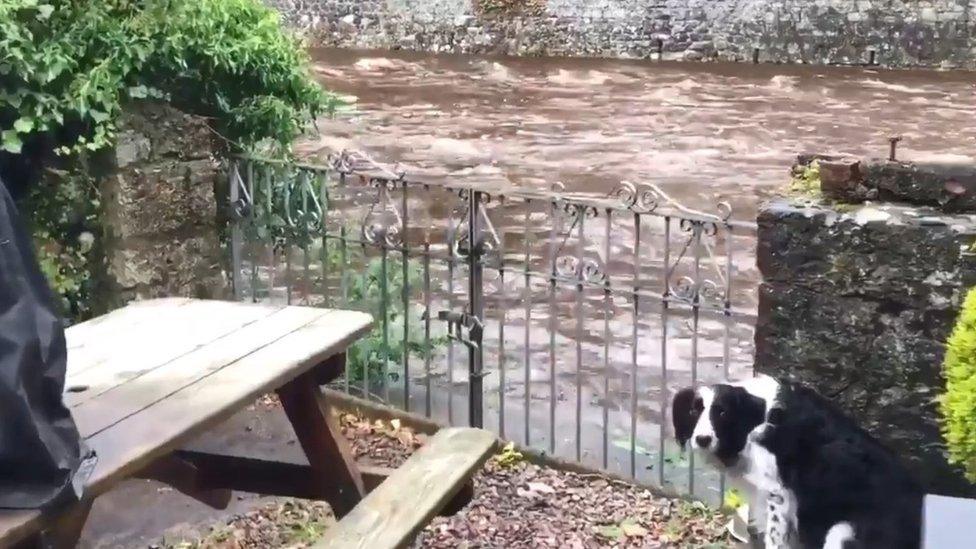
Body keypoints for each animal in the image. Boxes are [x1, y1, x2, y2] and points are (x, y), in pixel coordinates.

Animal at [672, 374, 924, 548]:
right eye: (694, 412)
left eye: (722, 412)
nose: (702, 439)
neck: (753, 419)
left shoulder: (778, 495)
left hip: (840, 533)